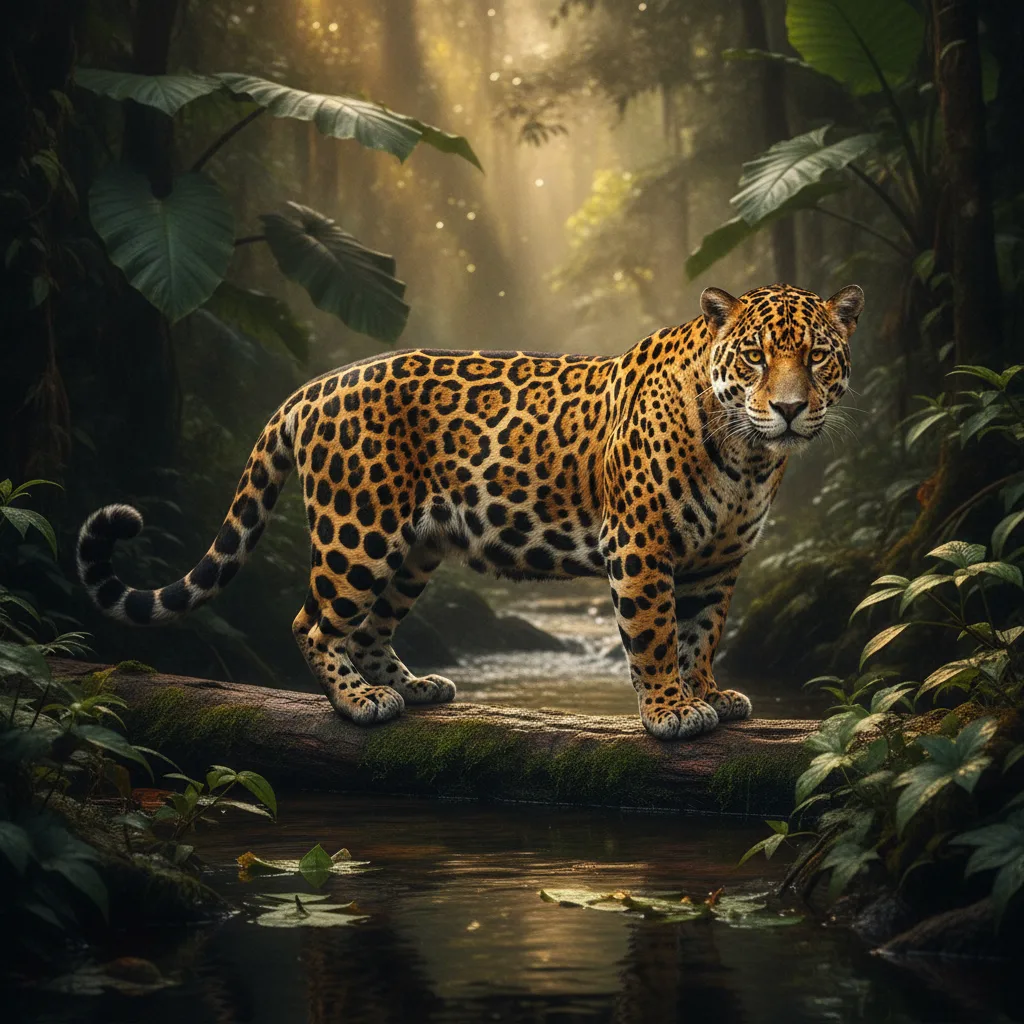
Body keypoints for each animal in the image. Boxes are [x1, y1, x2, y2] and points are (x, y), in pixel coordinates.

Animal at [77, 282, 863, 740]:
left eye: (819, 357)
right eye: (755, 356)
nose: (789, 409)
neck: (747, 454)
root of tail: (313, 387)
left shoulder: (721, 558)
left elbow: (703, 633)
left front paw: (711, 694)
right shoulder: (641, 545)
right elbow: (656, 633)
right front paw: (670, 709)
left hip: (413, 545)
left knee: (373, 626)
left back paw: (411, 687)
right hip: (357, 531)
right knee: (312, 620)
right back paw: (356, 701)